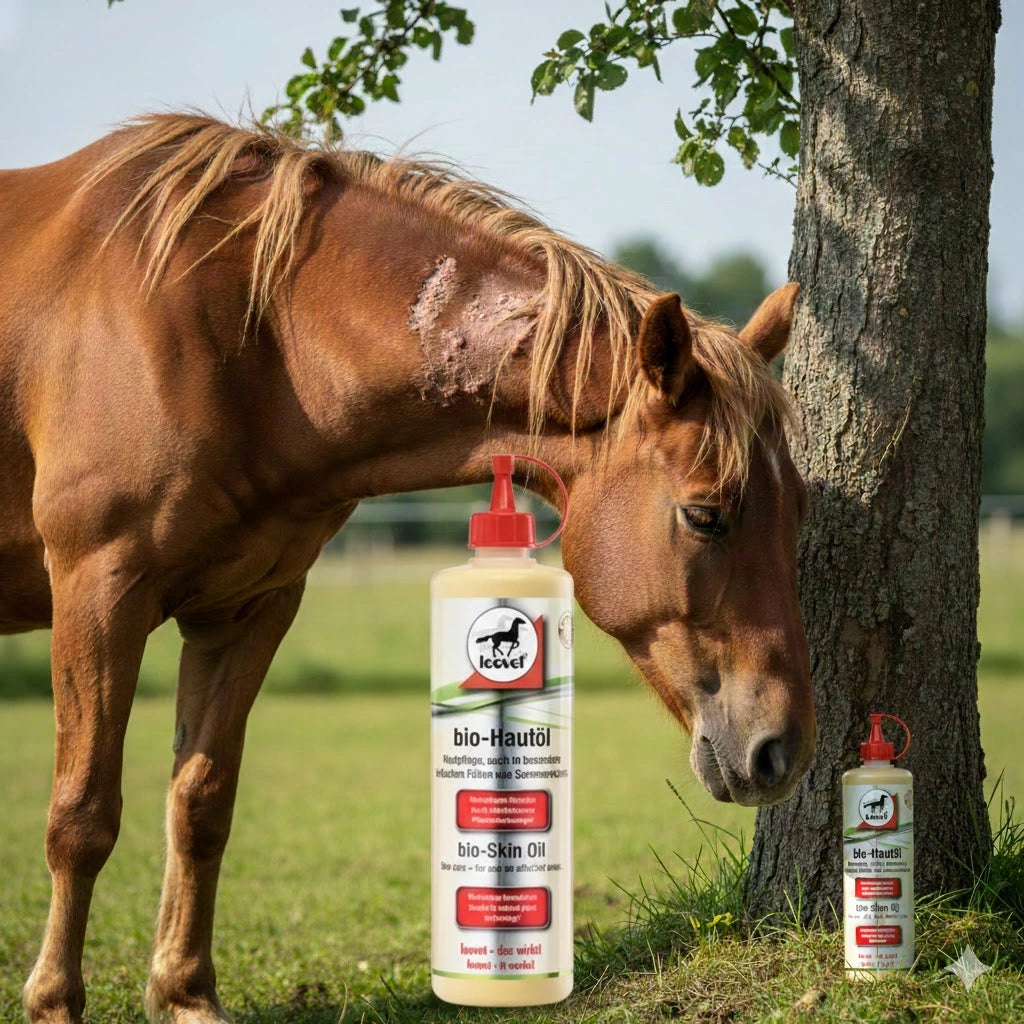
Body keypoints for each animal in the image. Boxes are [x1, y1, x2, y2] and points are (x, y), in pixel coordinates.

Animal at [0, 113, 815, 1024]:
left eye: (801, 508)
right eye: (704, 514)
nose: (783, 749)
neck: (241, 328)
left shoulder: (247, 609)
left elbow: (201, 803)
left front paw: (186, 996)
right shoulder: (100, 592)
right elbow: (82, 817)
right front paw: (53, 1003)